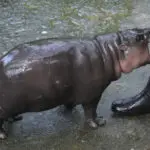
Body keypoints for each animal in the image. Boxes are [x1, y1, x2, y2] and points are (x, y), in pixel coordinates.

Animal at [0, 27, 150, 138]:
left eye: (137, 29)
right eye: (139, 38)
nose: (148, 29)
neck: (109, 51)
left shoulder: (70, 90)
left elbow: (72, 103)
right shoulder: (93, 95)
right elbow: (91, 111)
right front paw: (98, 123)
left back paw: (15, 119)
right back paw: (3, 135)